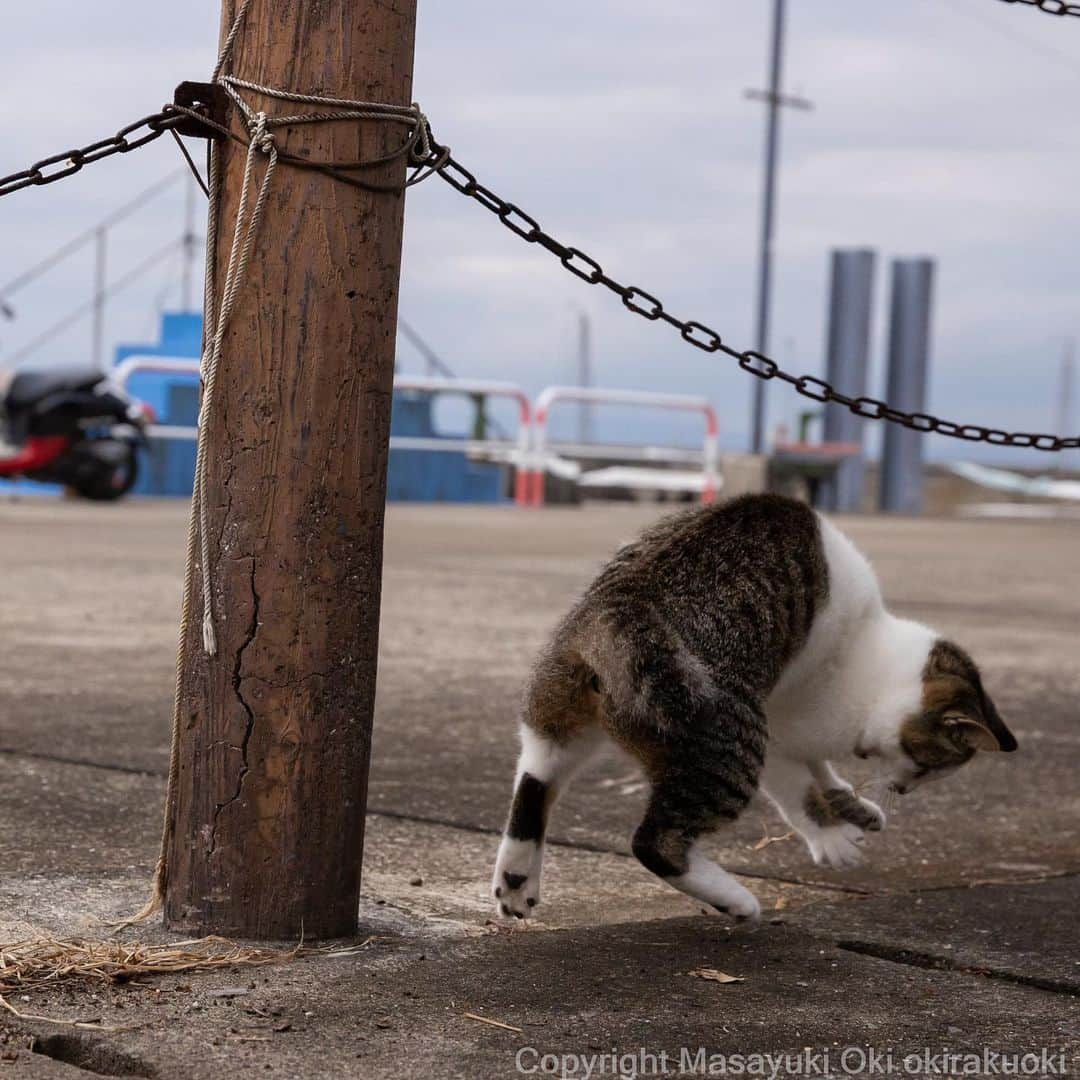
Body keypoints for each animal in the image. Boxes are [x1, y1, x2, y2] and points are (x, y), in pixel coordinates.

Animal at [494, 494, 1015, 924]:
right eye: (928, 767)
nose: (905, 790)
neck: (875, 650)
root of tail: (619, 606)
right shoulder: (781, 729)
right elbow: (800, 788)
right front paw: (831, 835)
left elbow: (821, 770)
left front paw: (850, 802)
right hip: (730, 744)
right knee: (654, 842)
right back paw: (735, 900)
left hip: (559, 704)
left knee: (536, 778)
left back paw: (516, 879)